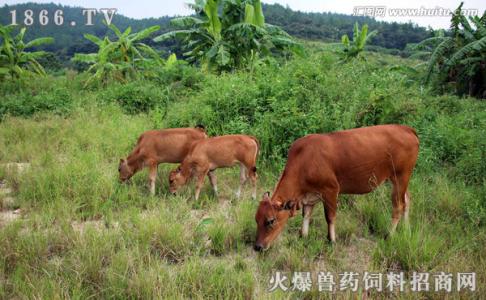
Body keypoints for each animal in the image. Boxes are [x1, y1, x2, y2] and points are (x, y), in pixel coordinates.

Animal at [254, 124, 418, 251]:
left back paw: (389, 235)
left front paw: (331, 241)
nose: (257, 247)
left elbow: (330, 217)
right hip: (400, 180)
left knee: (398, 205)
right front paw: (303, 236)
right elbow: (306, 215)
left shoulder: (331, 190)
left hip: (400, 177)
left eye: (270, 221)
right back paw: (407, 230)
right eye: (256, 219)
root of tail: (407, 128)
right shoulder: (309, 196)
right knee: (407, 200)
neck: (304, 161)